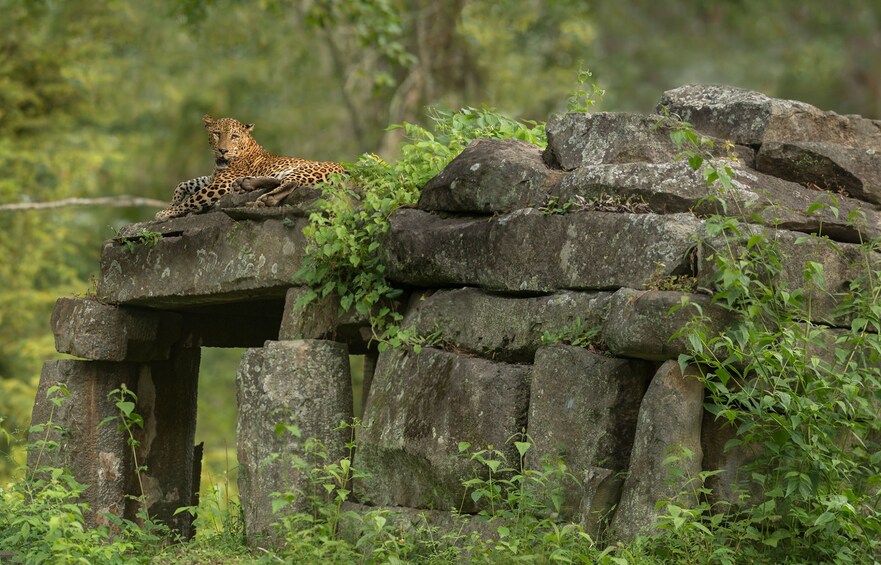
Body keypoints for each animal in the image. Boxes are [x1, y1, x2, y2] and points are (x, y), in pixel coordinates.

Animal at [153, 114, 342, 220]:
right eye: (217, 134)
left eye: (234, 136)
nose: (223, 150)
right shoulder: (213, 178)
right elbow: (184, 184)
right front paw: (173, 203)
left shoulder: (221, 184)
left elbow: (193, 199)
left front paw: (166, 213)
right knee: (278, 181)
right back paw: (245, 185)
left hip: (305, 169)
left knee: (290, 183)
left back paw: (262, 200)